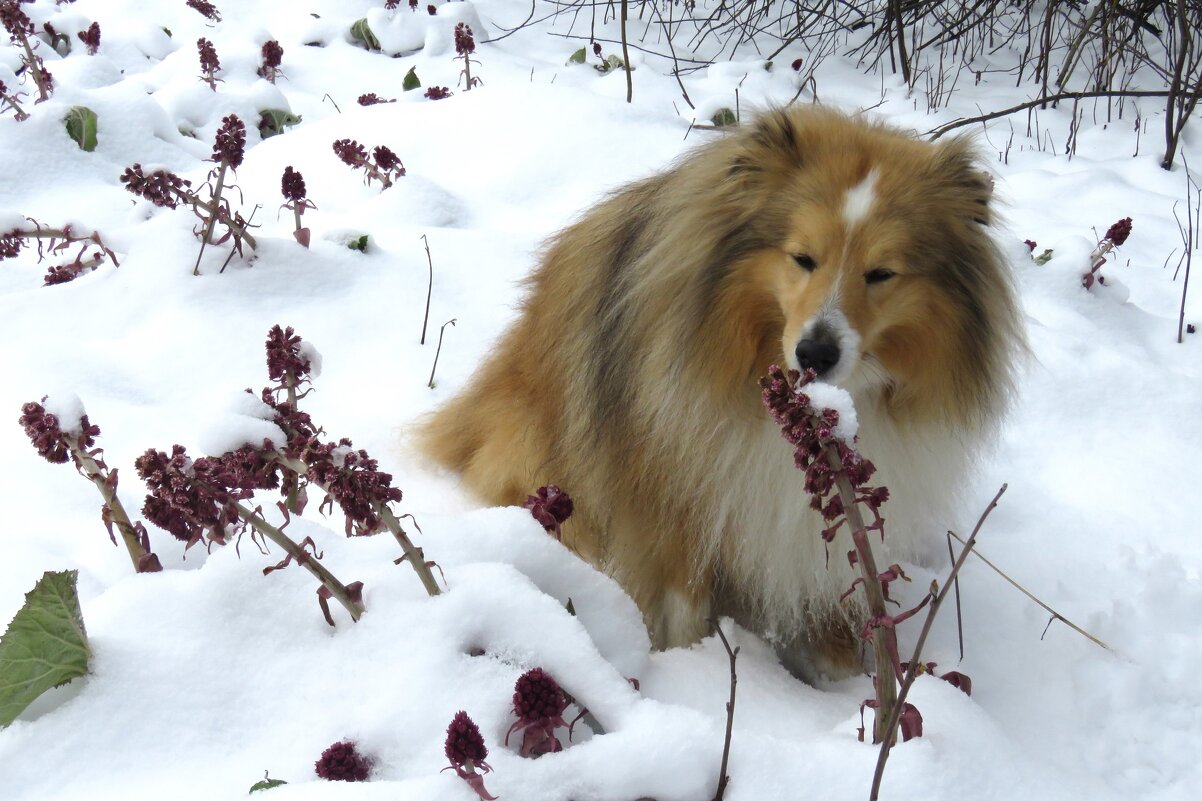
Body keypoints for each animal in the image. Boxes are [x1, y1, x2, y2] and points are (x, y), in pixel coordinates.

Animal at [418, 105, 1019, 678]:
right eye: (802, 258)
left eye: (882, 273)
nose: (814, 354)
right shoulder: (677, 494)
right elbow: (683, 600)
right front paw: (699, 666)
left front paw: (840, 673)